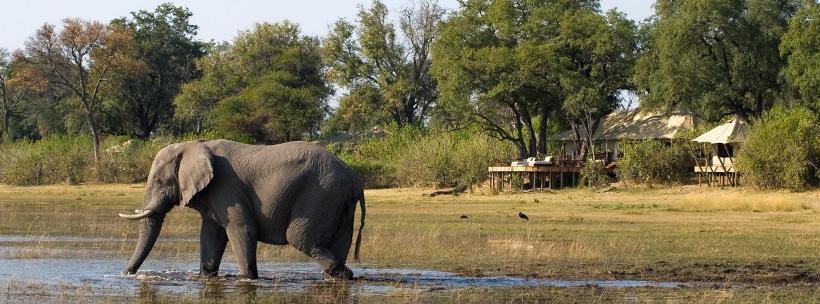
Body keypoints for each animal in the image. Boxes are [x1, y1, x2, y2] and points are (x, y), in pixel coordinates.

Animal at [117, 139, 366, 280]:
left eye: (160, 182)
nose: (126, 274)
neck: (192, 144)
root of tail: (354, 178)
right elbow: (211, 235)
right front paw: (206, 276)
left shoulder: (226, 186)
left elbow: (242, 229)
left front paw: (247, 279)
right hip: (339, 200)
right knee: (339, 242)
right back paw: (339, 276)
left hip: (321, 193)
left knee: (299, 238)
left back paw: (342, 274)